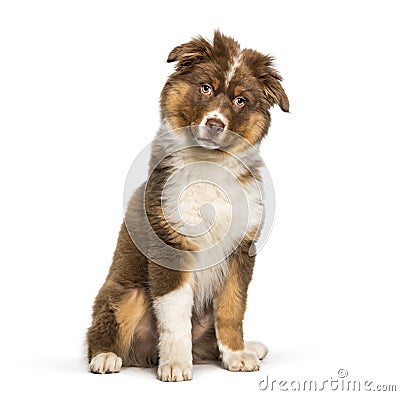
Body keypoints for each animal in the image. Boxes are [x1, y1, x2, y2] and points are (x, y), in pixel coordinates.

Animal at [86, 30, 288, 380]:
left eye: (240, 101)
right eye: (205, 88)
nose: (215, 124)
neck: (209, 166)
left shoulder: (241, 250)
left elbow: (232, 308)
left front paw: (237, 355)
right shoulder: (171, 245)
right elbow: (175, 315)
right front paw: (176, 365)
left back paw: (249, 347)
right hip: (125, 293)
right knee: (100, 333)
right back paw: (106, 357)